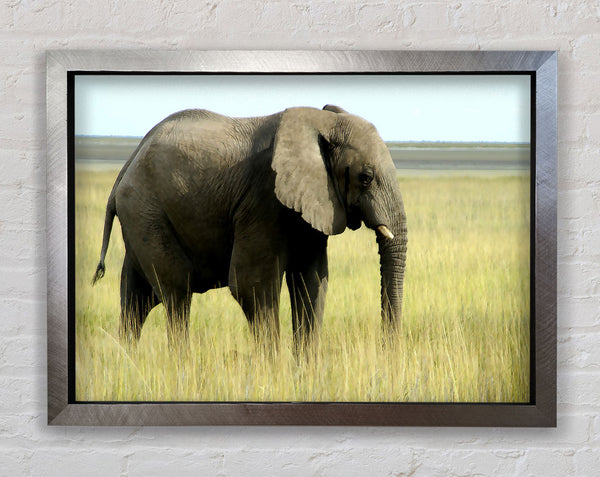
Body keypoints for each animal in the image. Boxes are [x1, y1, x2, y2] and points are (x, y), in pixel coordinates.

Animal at [92, 104, 408, 350]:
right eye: (365, 178)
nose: (386, 349)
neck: (320, 121)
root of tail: (126, 166)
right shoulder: (263, 198)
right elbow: (253, 286)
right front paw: (274, 375)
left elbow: (312, 281)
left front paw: (305, 375)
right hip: (146, 212)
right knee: (176, 294)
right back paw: (179, 366)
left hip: (141, 218)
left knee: (137, 298)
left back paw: (129, 362)